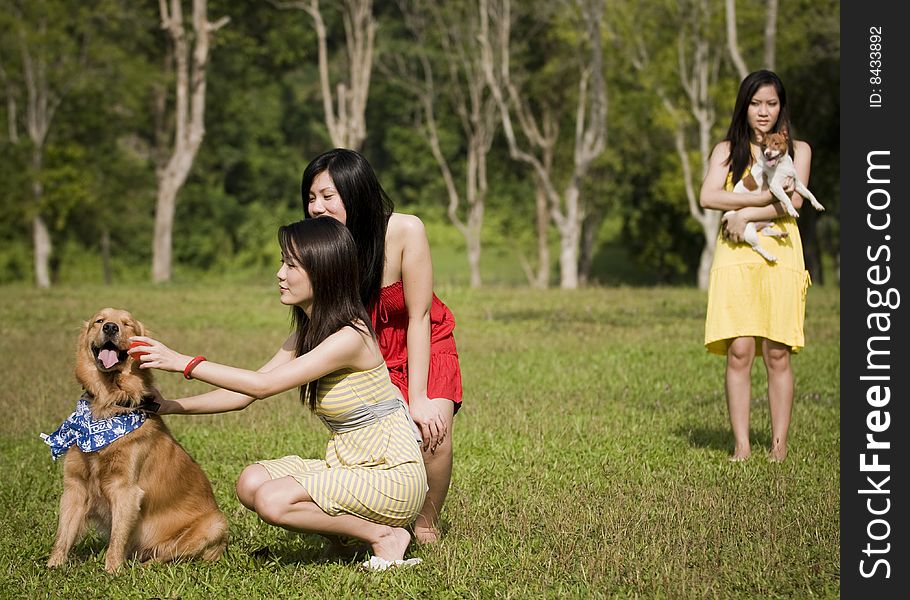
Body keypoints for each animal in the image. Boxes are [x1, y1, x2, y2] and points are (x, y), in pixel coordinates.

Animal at [45, 310, 228, 572]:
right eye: (99, 321)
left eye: (127, 323)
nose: (111, 327)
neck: (109, 404)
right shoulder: (75, 486)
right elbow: (63, 534)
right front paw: (53, 566)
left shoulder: (126, 490)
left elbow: (117, 539)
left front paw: (112, 571)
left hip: (215, 524)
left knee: (164, 556)